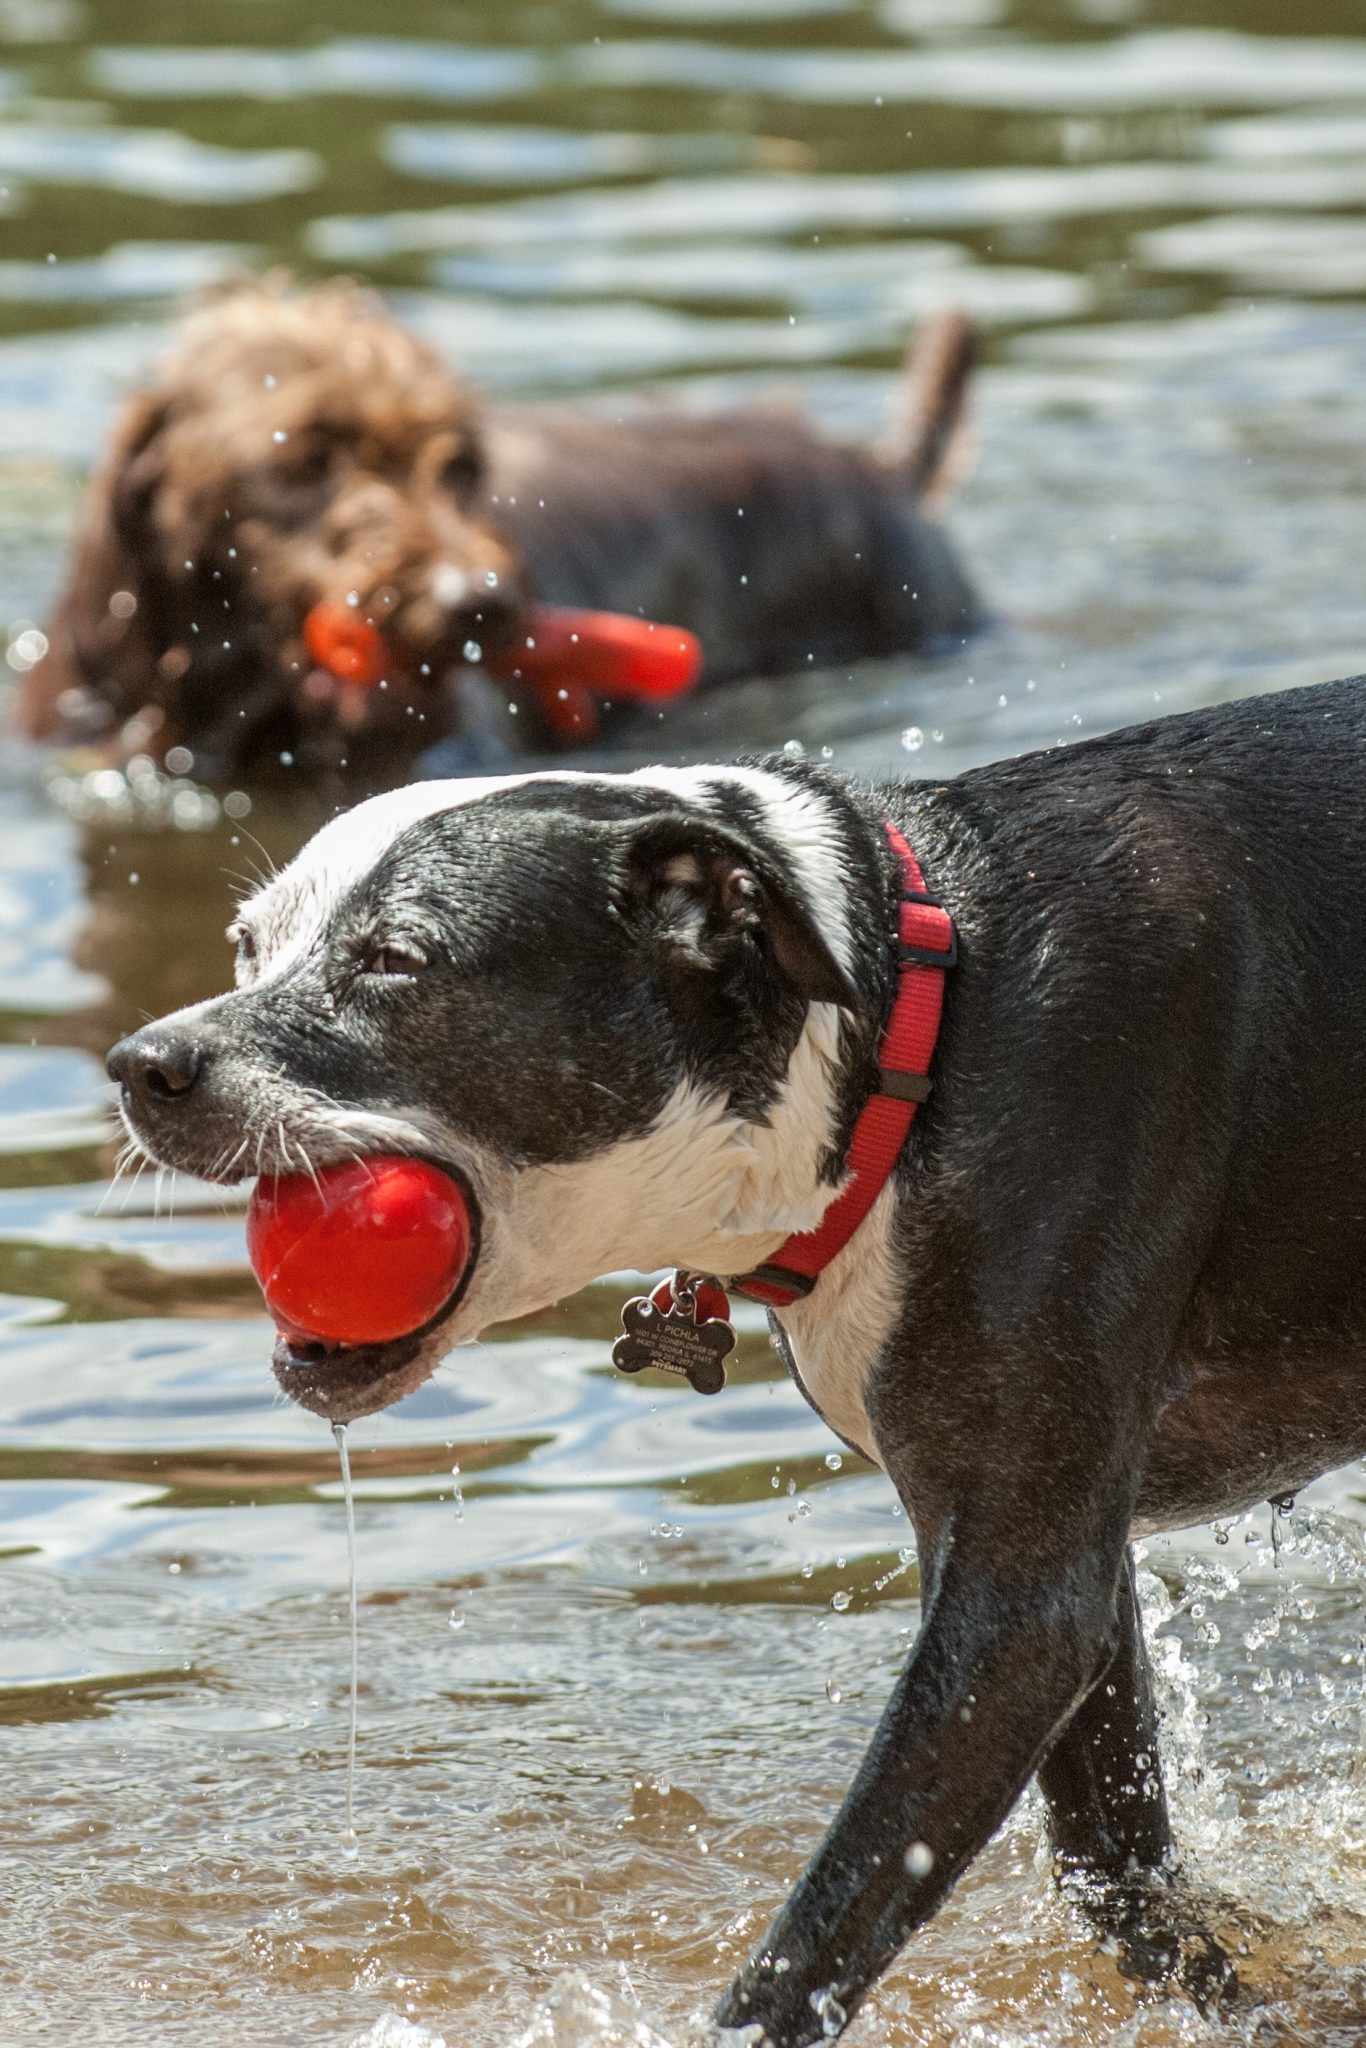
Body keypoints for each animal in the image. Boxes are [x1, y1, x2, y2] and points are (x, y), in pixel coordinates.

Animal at [112, 679, 1366, 2039]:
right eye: (247, 945)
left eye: (393, 959)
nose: (143, 1062)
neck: (905, 1035)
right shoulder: (1055, 1567)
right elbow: (1121, 1873)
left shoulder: (1018, 1608)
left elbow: (826, 1923)